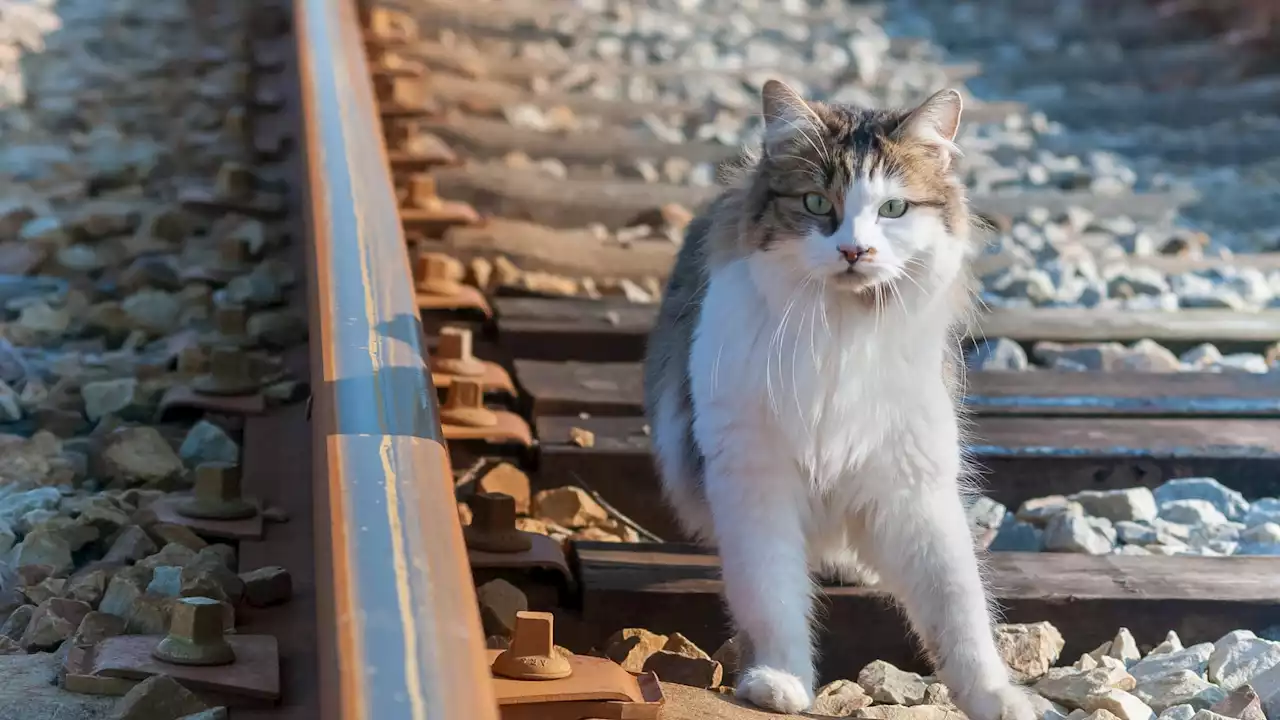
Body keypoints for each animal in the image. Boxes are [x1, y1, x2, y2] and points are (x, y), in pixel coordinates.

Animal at [645, 79, 1034, 717]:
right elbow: (771, 591)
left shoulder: (914, 483)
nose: (855, 251)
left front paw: (998, 696)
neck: (840, 330)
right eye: (814, 204)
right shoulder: (754, 475)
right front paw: (780, 679)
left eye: (894, 209)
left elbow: (959, 606)